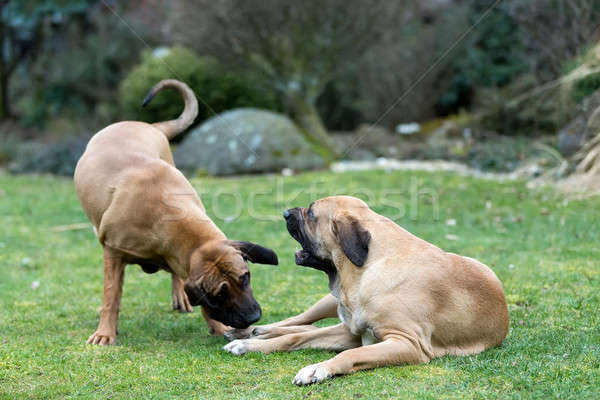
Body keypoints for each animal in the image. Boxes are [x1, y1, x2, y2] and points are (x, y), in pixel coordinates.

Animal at [75, 79, 278, 346]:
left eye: (245, 277)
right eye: (219, 294)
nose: (254, 317)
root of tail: (150, 126)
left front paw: (217, 327)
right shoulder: (113, 253)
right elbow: (111, 297)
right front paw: (105, 332)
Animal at [223, 196, 508, 384]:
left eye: (312, 214)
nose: (284, 213)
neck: (372, 264)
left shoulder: (406, 343)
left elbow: (350, 352)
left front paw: (318, 369)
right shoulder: (354, 331)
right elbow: (294, 338)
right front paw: (248, 345)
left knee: (307, 327)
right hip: (328, 302)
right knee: (299, 322)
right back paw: (251, 332)